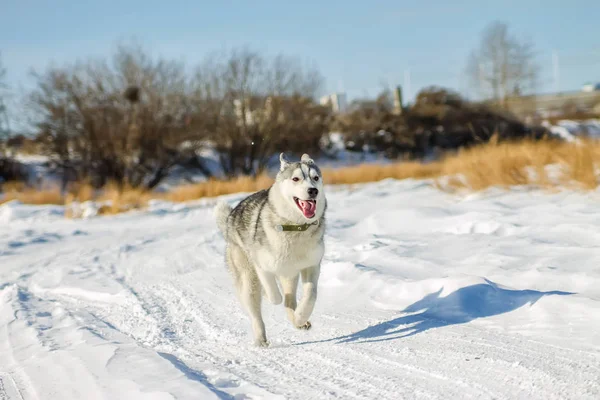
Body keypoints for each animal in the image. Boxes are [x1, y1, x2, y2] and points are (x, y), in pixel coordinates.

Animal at [216, 153, 326, 346]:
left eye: (315, 178)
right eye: (296, 179)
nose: (313, 191)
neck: (295, 228)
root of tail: (230, 216)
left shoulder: (311, 266)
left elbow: (310, 295)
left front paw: (301, 316)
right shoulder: (262, 266)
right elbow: (274, 295)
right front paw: (270, 296)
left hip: (290, 275)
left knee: (290, 301)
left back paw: (298, 322)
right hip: (248, 279)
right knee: (257, 311)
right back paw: (261, 340)